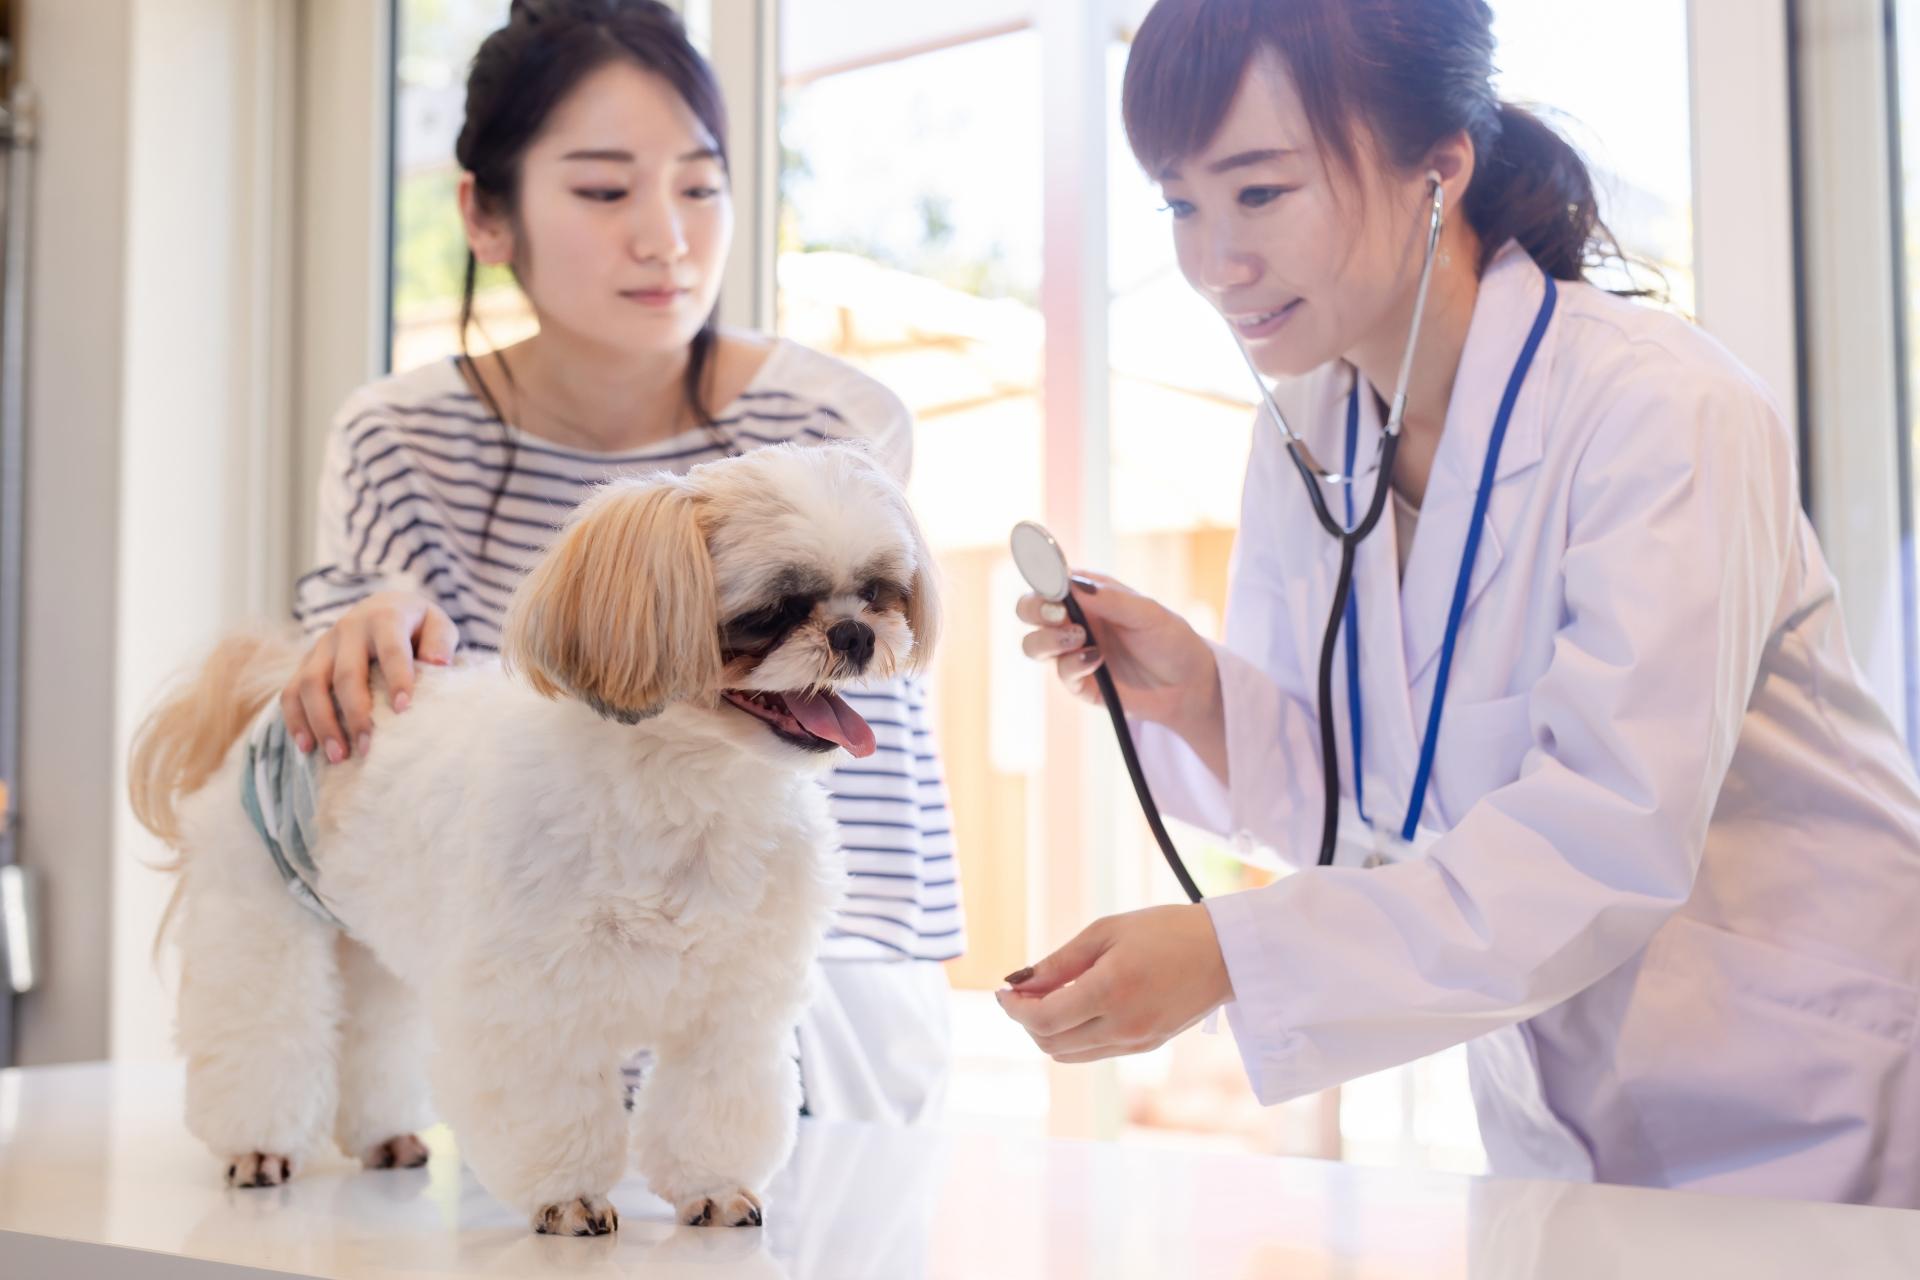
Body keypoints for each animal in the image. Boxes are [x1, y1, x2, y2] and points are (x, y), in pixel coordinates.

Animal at [125, 445, 936, 1235]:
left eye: (878, 592)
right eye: (775, 609)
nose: (857, 634)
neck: (690, 787)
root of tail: (276, 688)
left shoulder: (735, 1009)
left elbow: (713, 1103)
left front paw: (712, 1188)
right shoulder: (533, 1000)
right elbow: (553, 1108)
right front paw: (568, 1198)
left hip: (375, 941)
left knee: (375, 1037)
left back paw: (385, 1136)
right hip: (259, 919)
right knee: (264, 1029)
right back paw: (258, 1147)